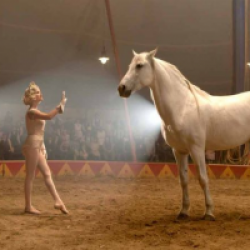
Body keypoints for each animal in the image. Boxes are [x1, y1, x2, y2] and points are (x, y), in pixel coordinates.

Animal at [117, 48, 250, 221]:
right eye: (130, 65)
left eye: (139, 65)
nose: (122, 88)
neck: (182, 108)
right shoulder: (179, 151)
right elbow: (183, 180)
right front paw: (184, 211)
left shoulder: (197, 149)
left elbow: (203, 179)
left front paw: (209, 212)